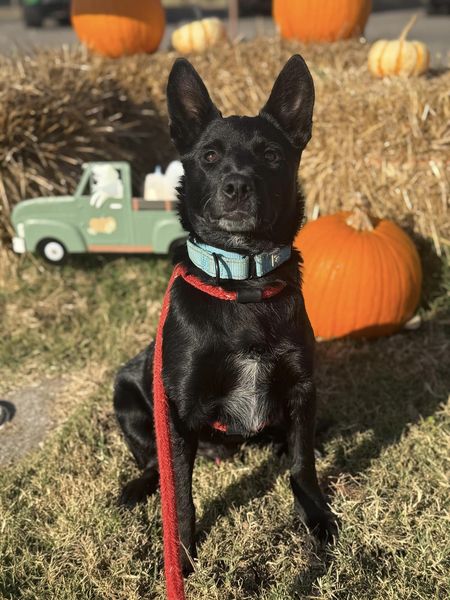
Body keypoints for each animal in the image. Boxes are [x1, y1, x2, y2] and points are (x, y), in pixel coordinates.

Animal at [114, 54, 336, 576]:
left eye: (272, 155)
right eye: (210, 156)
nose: (237, 186)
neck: (242, 282)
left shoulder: (302, 387)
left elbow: (303, 463)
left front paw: (315, 517)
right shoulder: (176, 412)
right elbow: (179, 492)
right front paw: (180, 554)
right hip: (126, 396)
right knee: (151, 464)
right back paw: (138, 487)